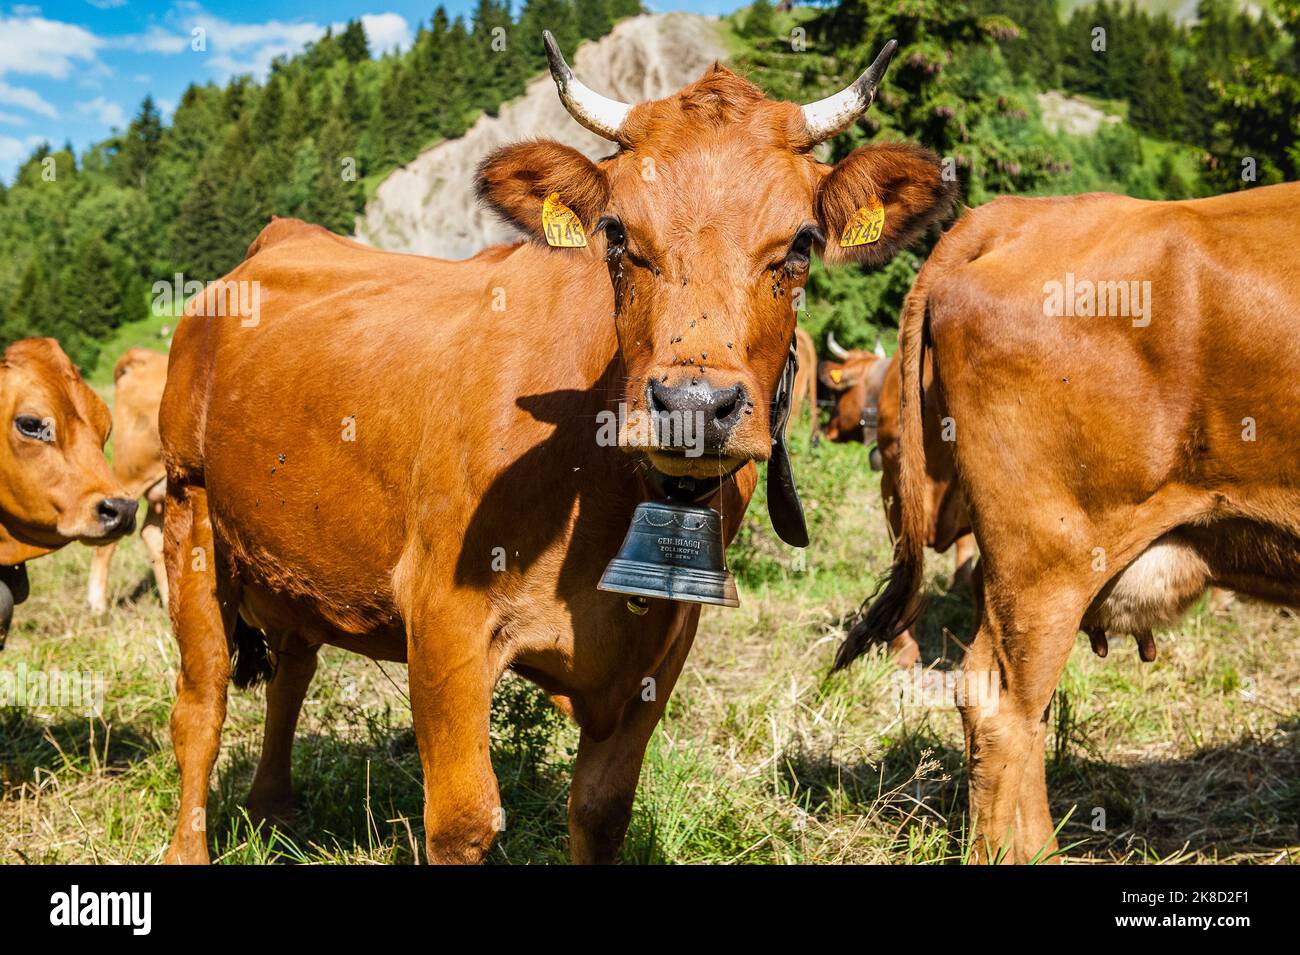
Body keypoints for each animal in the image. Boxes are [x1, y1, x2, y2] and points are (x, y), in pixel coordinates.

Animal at [159, 35, 956, 867]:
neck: (601, 491)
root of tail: (281, 236)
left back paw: (274, 809)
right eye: (617, 234)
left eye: (800, 243)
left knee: (292, 664)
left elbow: (602, 809)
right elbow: (464, 819)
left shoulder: (663, 643)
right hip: (190, 508)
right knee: (200, 706)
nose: (692, 407)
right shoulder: (442, 613)